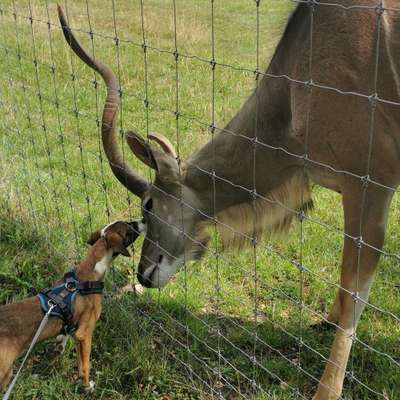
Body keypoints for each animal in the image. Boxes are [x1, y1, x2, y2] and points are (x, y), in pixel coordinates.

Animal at [0, 219, 140, 390]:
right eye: (129, 227)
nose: (140, 221)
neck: (89, 272)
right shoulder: (84, 333)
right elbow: (85, 366)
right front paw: (87, 387)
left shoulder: (71, 330)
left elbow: (68, 351)